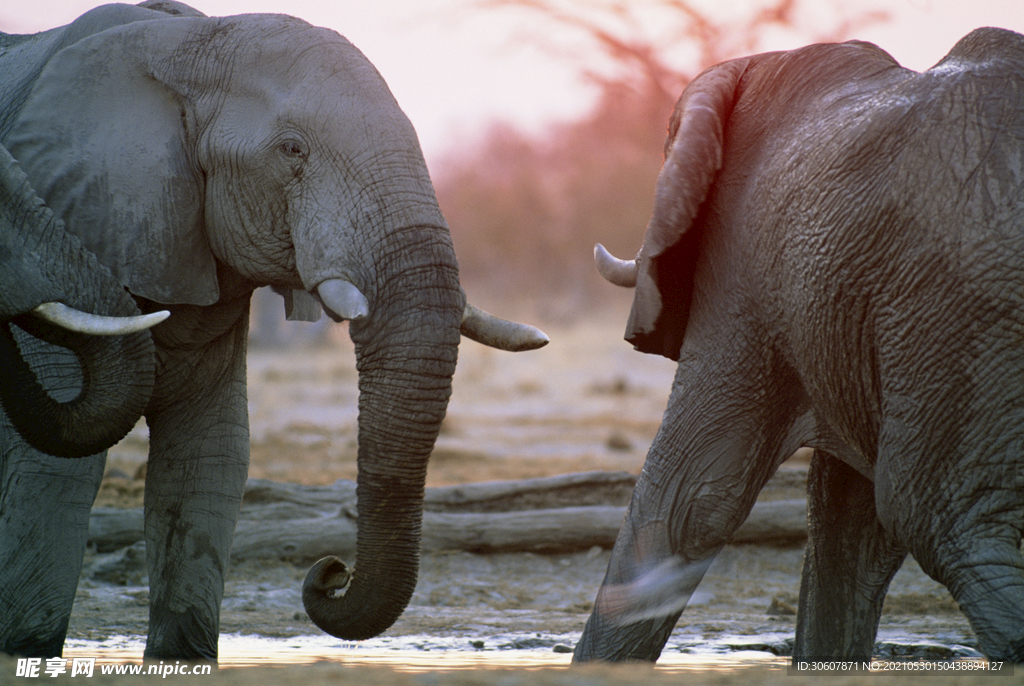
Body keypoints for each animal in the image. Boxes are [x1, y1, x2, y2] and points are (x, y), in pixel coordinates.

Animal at [0, 1, 547, 661]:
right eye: (292, 150)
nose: (330, 572)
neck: (187, 42)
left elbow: (212, 452)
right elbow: (56, 465)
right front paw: (24, 648)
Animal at [577, 28, 1024, 664]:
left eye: (665, 140)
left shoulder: (739, 271)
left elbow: (691, 498)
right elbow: (848, 527)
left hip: (961, 307)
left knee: (936, 517)